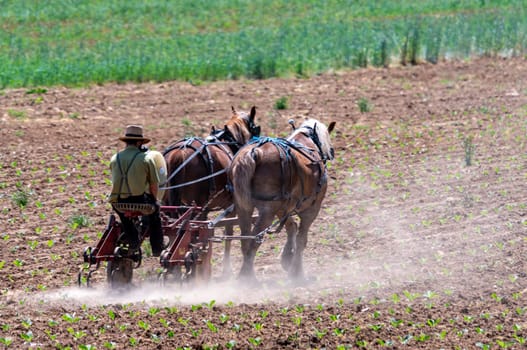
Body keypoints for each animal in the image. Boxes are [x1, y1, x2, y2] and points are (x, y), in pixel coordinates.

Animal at [162, 105, 258, 274]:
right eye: (254, 127)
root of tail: (179, 153)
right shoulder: (232, 205)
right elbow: (228, 231)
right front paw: (226, 268)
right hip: (198, 207)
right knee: (191, 236)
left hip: (173, 205)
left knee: (175, 235)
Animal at [226, 117, 334, 282]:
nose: (331, 152)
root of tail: (254, 153)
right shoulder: (311, 209)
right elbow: (302, 239)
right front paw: (297, 271)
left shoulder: (283, 208)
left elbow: (291, 226)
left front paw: (287, 257)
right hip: (267, 211)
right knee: (254, 241)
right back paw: (248, 278)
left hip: (243, 208)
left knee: (246, 239)